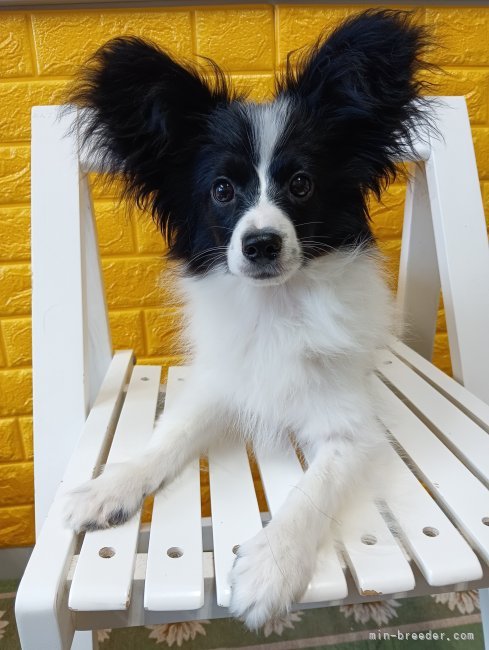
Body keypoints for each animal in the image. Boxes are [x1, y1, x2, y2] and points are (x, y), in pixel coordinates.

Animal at [64, 9, 433, 628]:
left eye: (301, 183)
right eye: (221, 190)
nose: (260, 243)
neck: (275, 307)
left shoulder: (351, 431)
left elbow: (311, 491)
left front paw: (270, 568)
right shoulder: (225, 383)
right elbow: (169, 436)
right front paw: (110, 485)